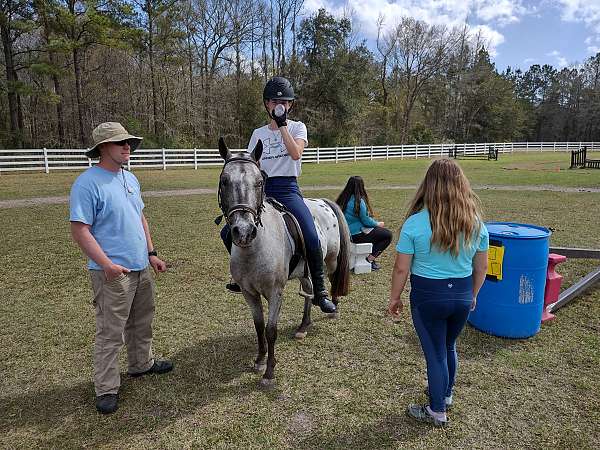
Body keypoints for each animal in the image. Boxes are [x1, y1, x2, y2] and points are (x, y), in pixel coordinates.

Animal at [218, 138, 352, 386]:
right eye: (224, 181)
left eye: (260, 182)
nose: (244, 231)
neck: (255, 249)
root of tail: (323, 202)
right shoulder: (248, 292)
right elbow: (259, 326)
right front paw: (259, 360)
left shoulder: (275, 292)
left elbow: (271, 330)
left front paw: (269, 372)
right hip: (305, 271)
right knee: (309, 290)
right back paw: (303, 326)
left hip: (330, 261)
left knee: (331, 279)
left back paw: (332, 307)